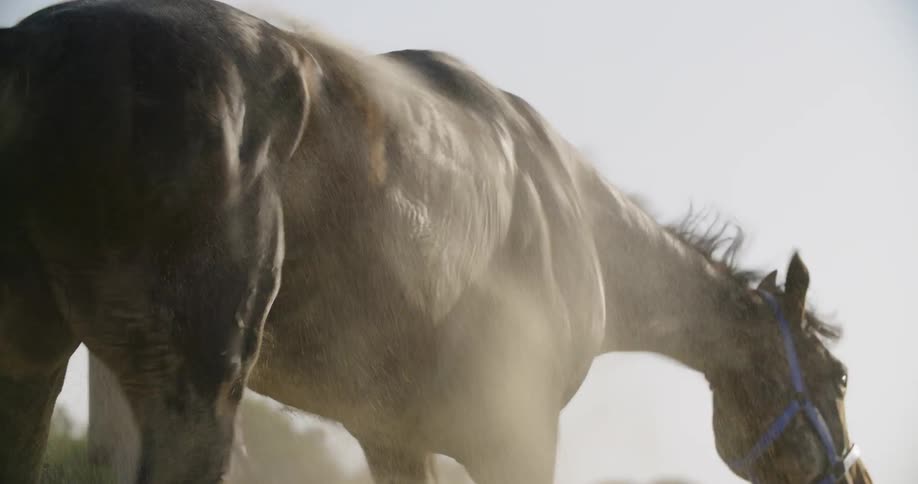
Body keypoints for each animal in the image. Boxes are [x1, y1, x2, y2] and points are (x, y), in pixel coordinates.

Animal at [1, 0, 871, 483]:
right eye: (839, 377)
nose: (856, 476)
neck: (583, 227)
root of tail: (31, 50)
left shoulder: (391, 439)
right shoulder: (518, 438)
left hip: (35, 367)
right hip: (192, 390)